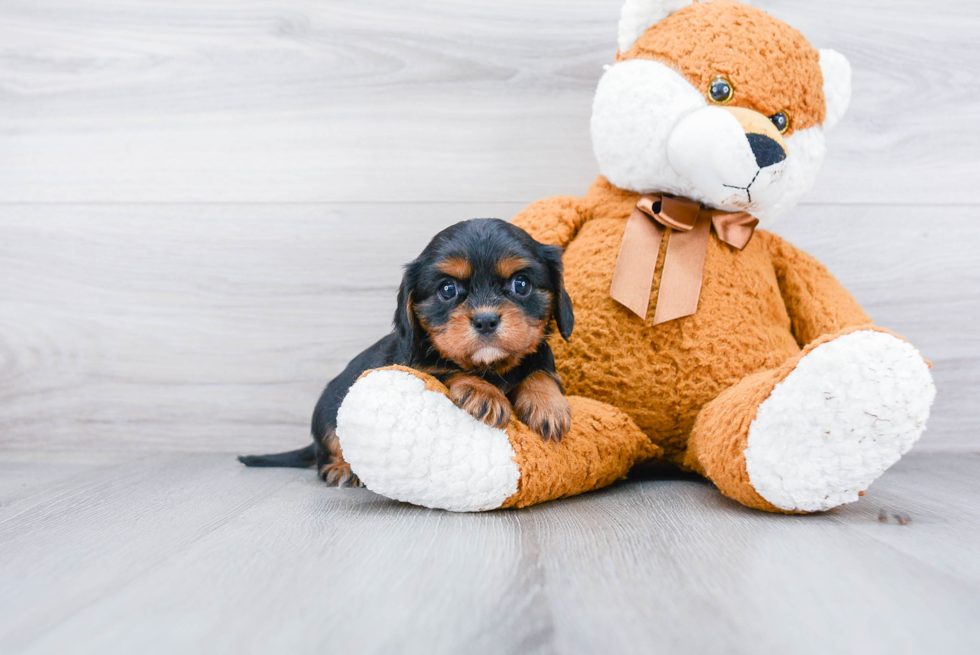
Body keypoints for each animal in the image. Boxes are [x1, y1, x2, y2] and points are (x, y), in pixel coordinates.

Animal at [239, 220, 576, 486]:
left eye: (521, 284)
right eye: (447, 290)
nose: (485, 320)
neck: (491, 367)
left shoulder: (542, 357)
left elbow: (540, 370)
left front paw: (548, 406)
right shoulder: (417, 364)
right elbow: (448, 368)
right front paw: (484, 392)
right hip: (328, 415)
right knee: (328, 449)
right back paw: (341, 468)